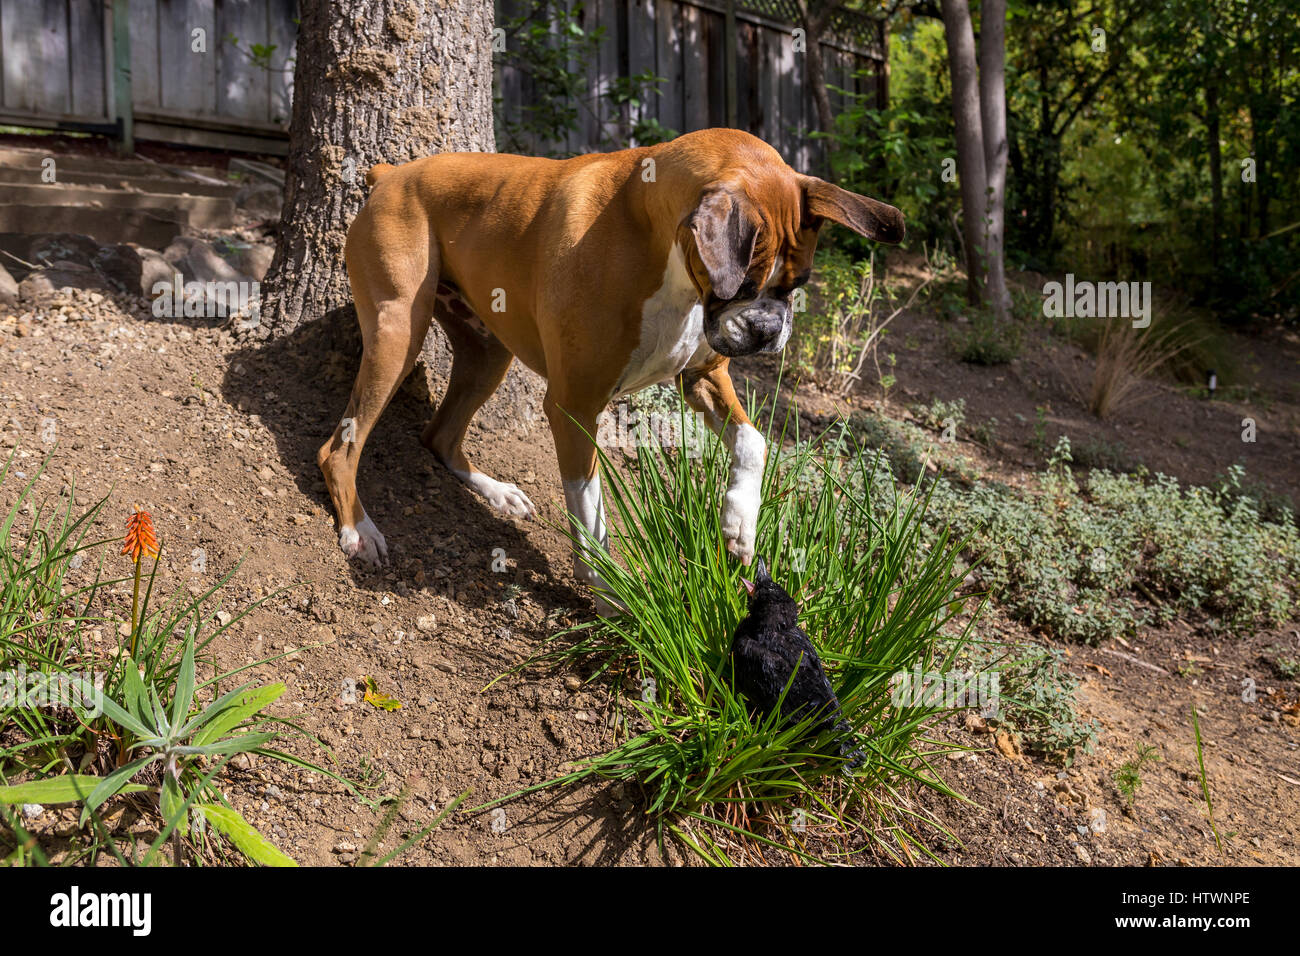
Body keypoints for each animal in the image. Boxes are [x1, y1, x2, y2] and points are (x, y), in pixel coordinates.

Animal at [318, 127, 904, 616]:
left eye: (797, 284)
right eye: (742, 285)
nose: (766, 330)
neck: (656, 238)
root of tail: (392, 174)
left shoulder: (703, 378)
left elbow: (753, 441)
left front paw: (739, 522)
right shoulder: (573, 407)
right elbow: (590, 509)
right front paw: (608, 592)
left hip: (487, 355)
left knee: (439, 436)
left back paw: (496, 491)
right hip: (398, 335)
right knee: (339, 448)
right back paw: (358, 530)